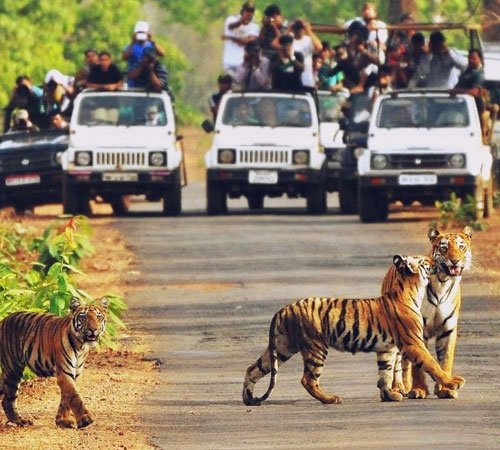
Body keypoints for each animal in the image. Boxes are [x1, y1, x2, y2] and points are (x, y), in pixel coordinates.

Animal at [0, 298, 107, 428]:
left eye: (98, 317)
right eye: (83, 317)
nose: (93, 329)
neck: (81, 346)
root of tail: (3, 320)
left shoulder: (75, 374)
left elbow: (66, 398)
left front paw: (62, 421)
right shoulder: (64, 373)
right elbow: (74, 396)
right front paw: (85, 420)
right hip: (13, 369)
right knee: (8, 399)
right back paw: (19, 421)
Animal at [242, 255, 464, 406]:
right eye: (425, 261)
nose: (435, 260)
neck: (412, 289)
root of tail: (283, 309)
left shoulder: (387, 349)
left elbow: (385, 373)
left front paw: (389, 396)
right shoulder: (413, 343)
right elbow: (432, 364)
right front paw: (453, 382)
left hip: (283, 347)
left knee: (253, 368)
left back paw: (248, 398)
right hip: (315, 347)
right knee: (308, 379)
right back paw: (330, 398)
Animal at [378, 227, 472, 400]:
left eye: (461, 247)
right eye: (444, 247)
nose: (455, 261)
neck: (443, 282)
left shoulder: (448, 329)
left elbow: (445, 360)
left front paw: (445, 389)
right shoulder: (417, 329)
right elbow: (418, 365)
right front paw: (419, 390)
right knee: (397, 362)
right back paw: (398, 388)